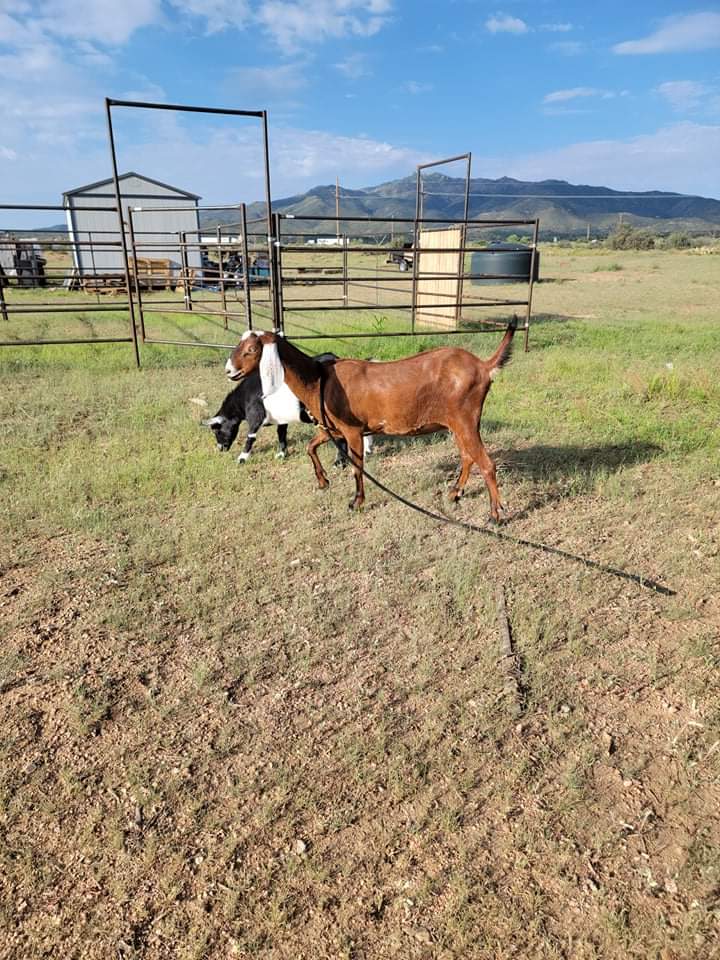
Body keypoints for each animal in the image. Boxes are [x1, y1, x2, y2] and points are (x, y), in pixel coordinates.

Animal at [228, 318, 516, 516]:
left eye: (251, 349)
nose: (230, 371)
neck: (319, 380)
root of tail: (483, 366)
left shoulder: (353, 430)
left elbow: (357, 468)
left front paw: (356, 502)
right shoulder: (332, 429)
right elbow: (311, 447)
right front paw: (323, 481)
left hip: (465, 418)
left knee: (486, 463)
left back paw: (495, 514)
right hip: (457, 423)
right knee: (468, 456)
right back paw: (455, 493)